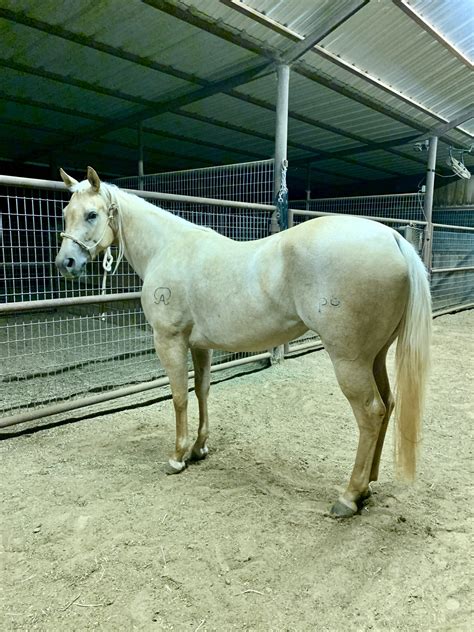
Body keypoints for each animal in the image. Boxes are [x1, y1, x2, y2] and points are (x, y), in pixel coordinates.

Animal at [56, 168, 434, 520]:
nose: (65, 263)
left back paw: (349, 496)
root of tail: (393, 237)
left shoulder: (169, 340)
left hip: (349, 361)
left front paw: (177, 457)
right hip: (375, 356)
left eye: (92, 214)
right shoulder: (200, 345)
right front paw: (199, 449)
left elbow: (179, 397)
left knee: (371, 413)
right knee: (388, 404)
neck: (168, 248)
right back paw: (368, 486)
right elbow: (202, 391)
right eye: (65, 213)